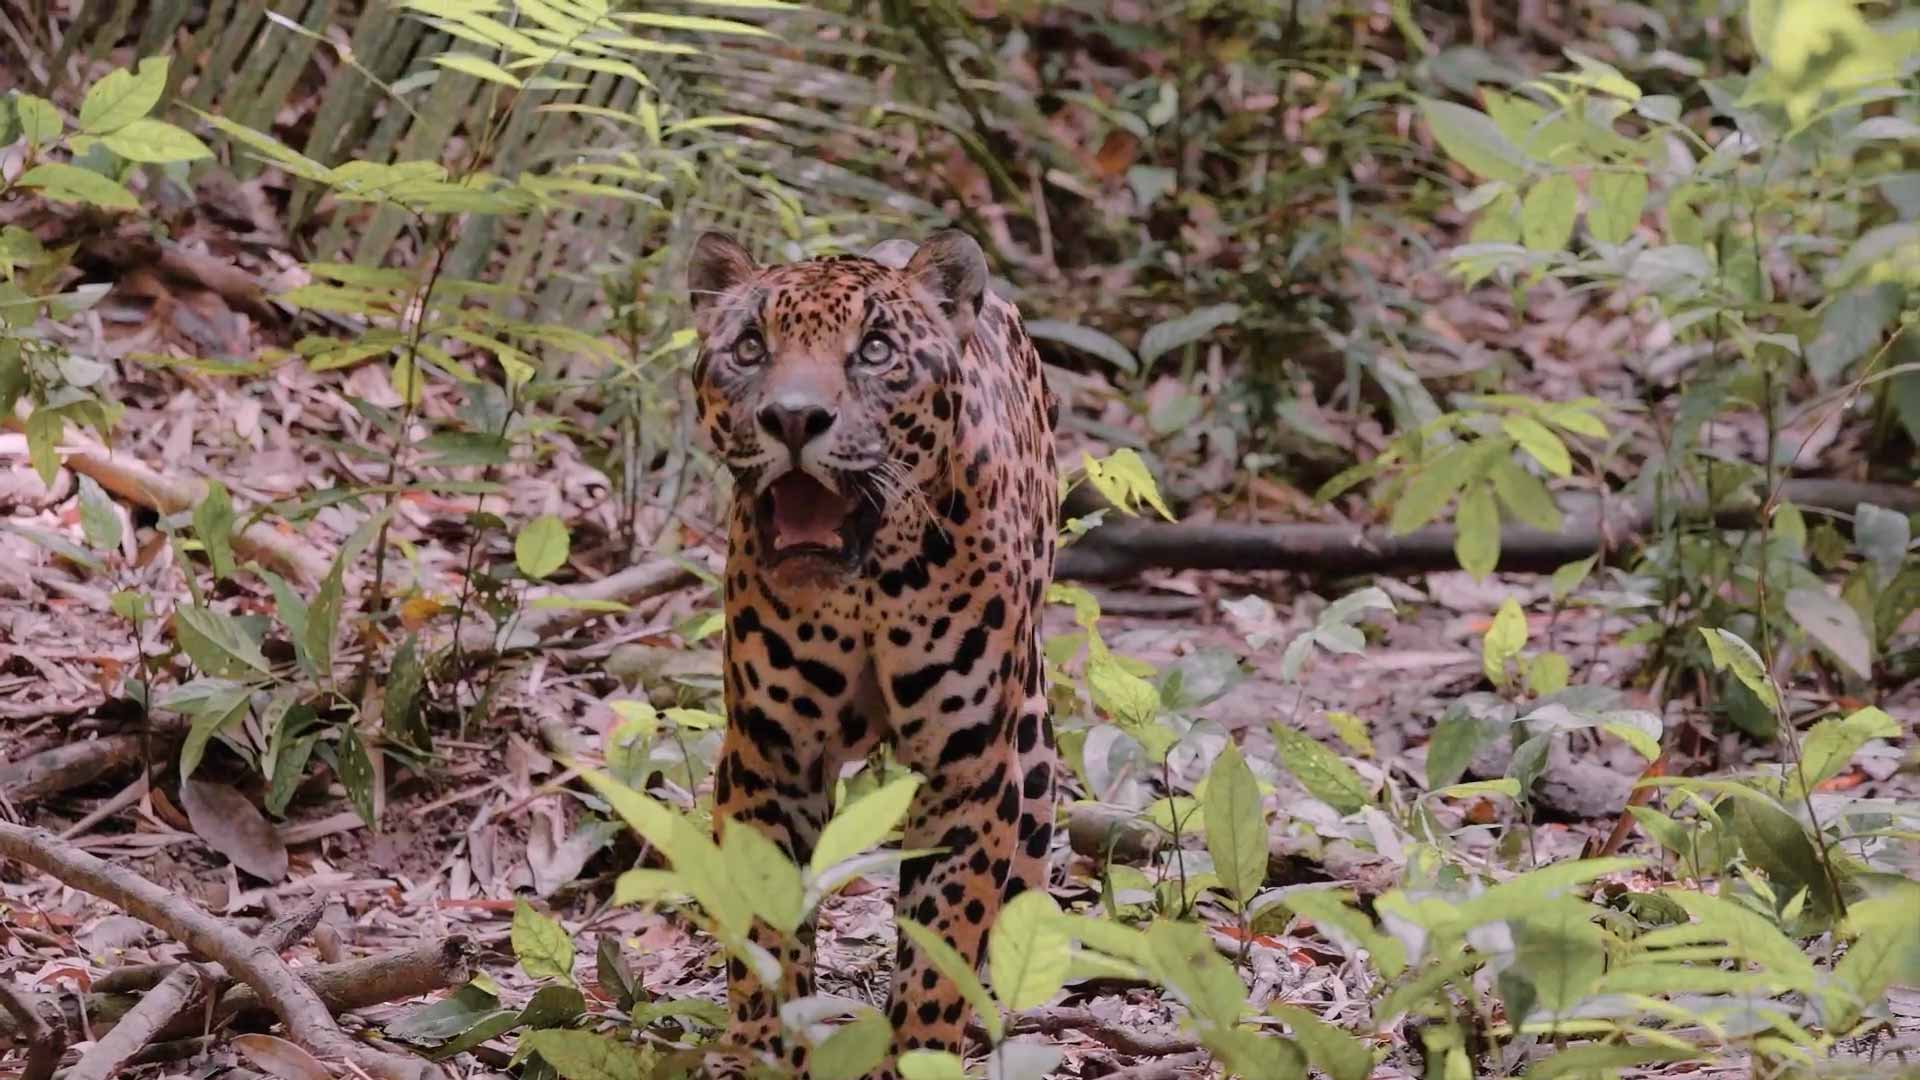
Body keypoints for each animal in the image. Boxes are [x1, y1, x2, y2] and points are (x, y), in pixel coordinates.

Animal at [686, 229, 1060, 1079]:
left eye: (877, 350)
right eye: (750, 348)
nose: (793, 419)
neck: (870, 585)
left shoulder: (968, 771)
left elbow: (940, 943)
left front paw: (918, 1055)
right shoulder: (770, 757)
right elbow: (766, 927)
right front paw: (768, 1050)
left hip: (1032, 752)